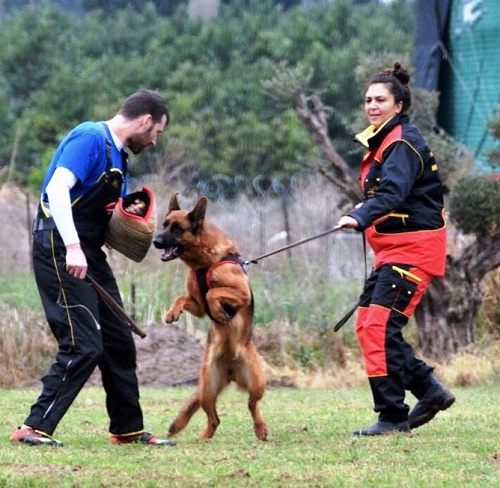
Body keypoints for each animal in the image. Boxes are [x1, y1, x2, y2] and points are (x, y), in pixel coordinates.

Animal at [152, 193, 268, 440]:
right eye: (164, 224)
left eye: (177, 228)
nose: (155, 241)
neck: (204, 262)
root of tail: (231, 370)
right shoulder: (196, 305)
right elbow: (182, 297)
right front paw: (171, 313)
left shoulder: (241, 293)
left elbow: (213, 292)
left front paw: (219, 312)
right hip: (207, 387)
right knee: (214, 418)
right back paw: (203, 437)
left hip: (257, 383)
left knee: (252, 404)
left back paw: (260, 428)